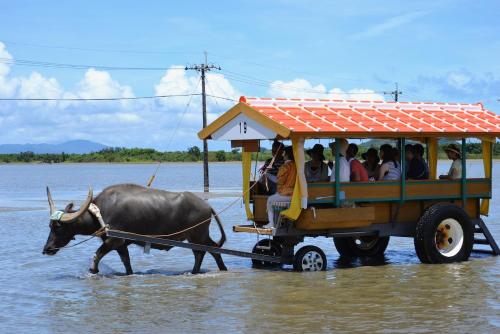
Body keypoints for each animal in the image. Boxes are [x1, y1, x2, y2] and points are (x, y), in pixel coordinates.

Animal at [43, 184, 227, 276]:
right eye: (50, 226)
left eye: (59, 227)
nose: (47, 249)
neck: (100, 213)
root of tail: (207, 206)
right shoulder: (121, 245)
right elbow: (127, 263)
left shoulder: (114, 240)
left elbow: (96, 255)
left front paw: (93, 271)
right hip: (197, 237)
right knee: (206, 251)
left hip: (197, 236)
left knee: (207, 251)